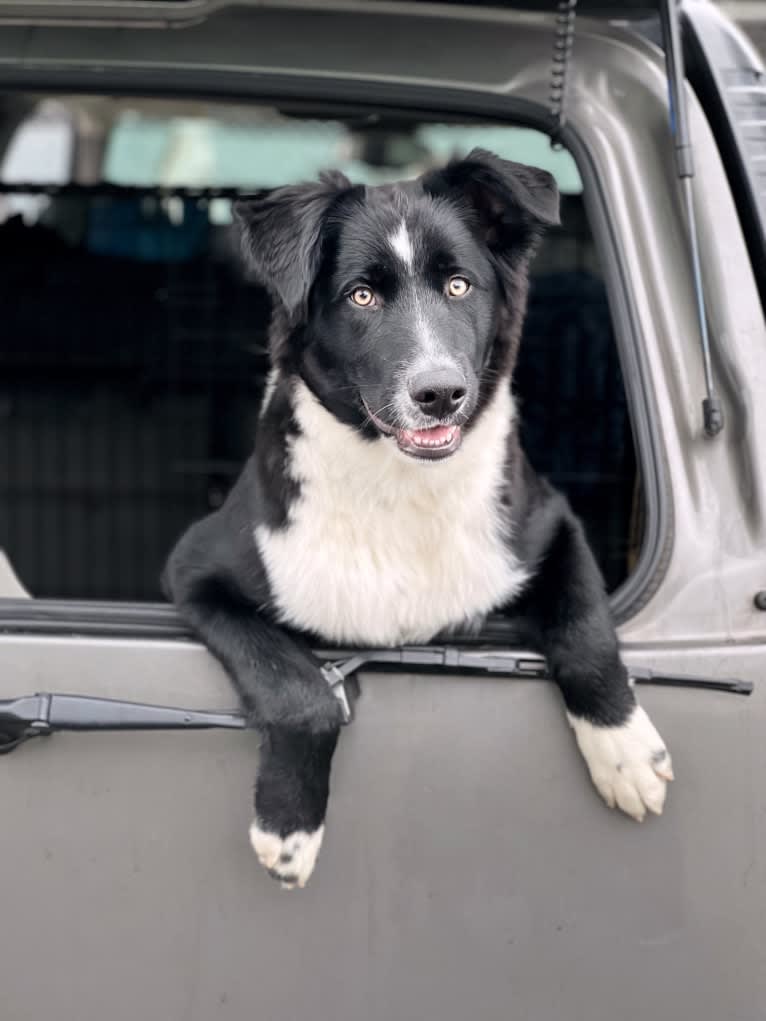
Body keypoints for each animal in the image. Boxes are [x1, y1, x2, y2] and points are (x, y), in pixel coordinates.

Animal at [165, 148, 674, 890]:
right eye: (361, 296)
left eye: (459, 285)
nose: (440, 394)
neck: (401, 484)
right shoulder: (196, 570)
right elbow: (299, 687)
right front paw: (289, 832)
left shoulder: (551, 525)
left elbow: (585, 629)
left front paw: (626, 750)